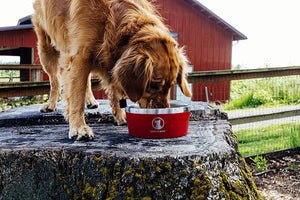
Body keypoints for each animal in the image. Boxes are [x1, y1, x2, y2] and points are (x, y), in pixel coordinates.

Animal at [32, 0, 192, 141]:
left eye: (171, 85)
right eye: (153, 84)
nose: (163, 110)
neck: (111, 19)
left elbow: (114, 90)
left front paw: (120, 115)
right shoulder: (80, 58)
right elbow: (77, 97)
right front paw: (79, 128)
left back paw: (90, 100)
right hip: (46, 49)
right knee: (54, 80)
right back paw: (51, 104)